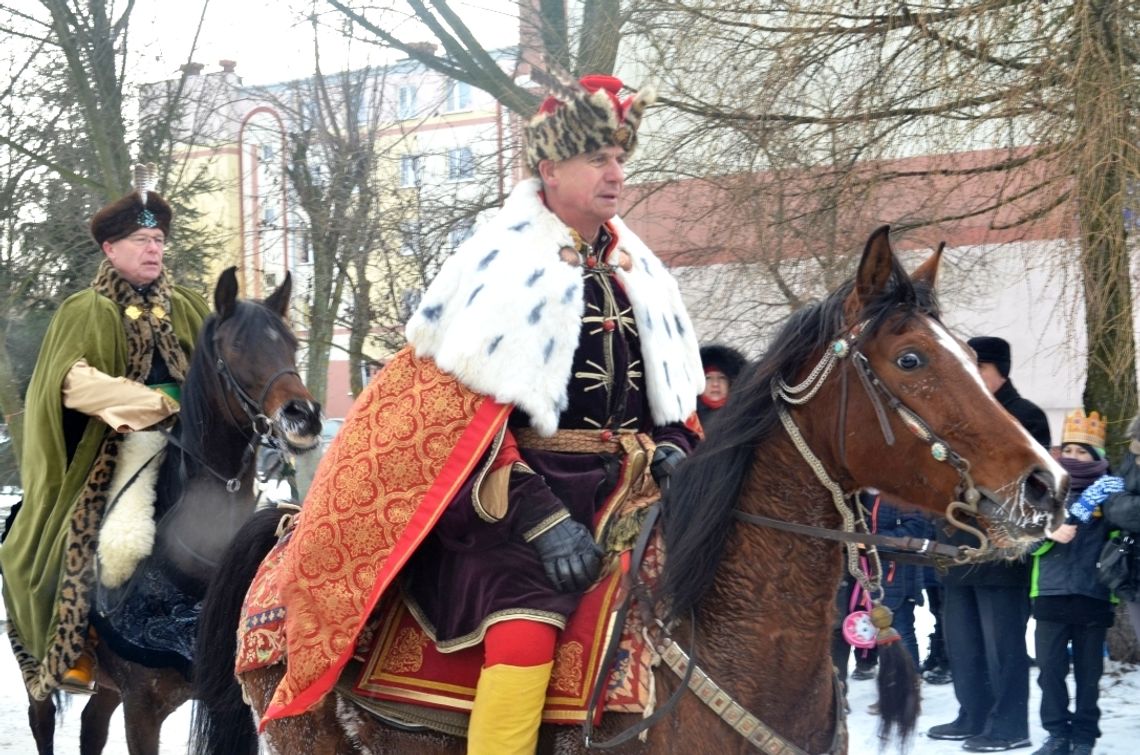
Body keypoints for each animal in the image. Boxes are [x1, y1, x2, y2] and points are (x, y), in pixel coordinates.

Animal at [23, 269, 326, 752]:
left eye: (291, 343)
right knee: (44, 722)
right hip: (39, 669)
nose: (304, 416)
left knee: (92, 725)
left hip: (107, 689)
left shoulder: (229, 699)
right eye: (235, 346)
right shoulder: (142, 707)